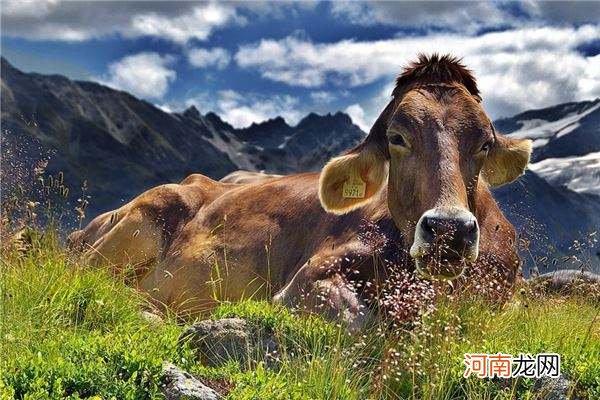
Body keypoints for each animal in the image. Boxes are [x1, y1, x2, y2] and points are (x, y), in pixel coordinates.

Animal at [68, 55, 532, 332]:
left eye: (484, 143)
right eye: (397, 137)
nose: (448, 230)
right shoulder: (307, 280)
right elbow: (357, 321)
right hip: (145, 216)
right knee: (97, 280)